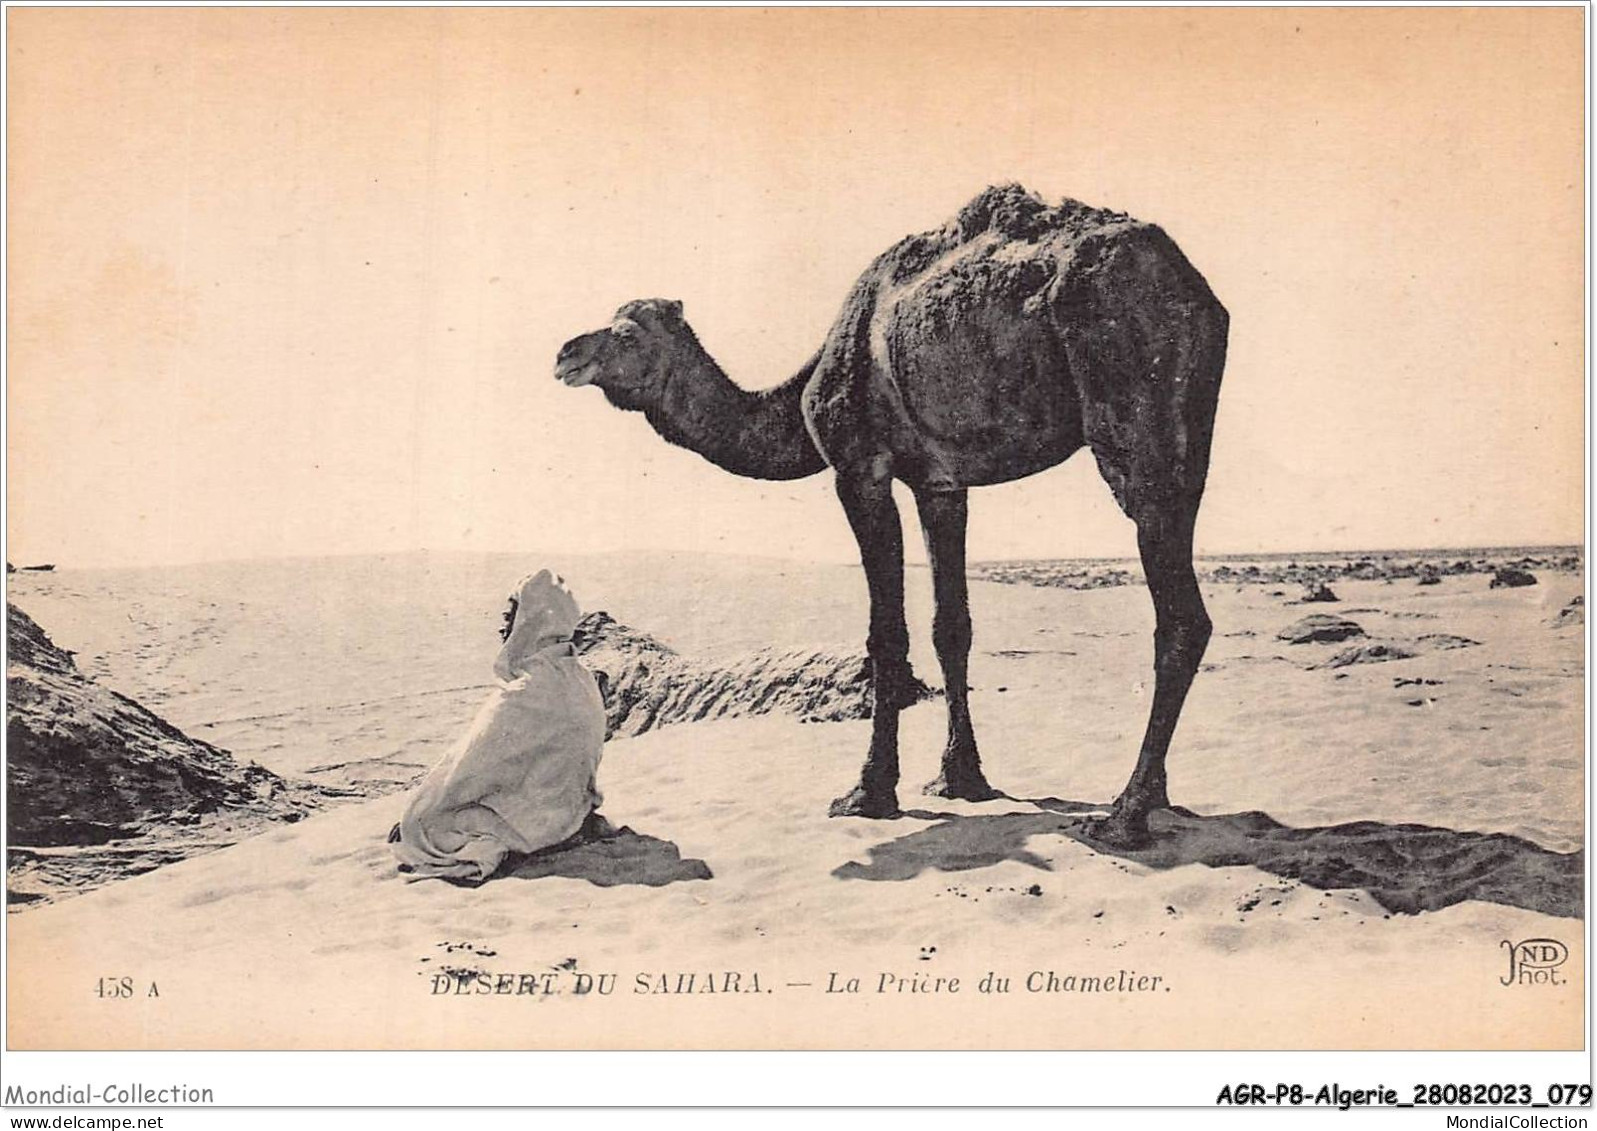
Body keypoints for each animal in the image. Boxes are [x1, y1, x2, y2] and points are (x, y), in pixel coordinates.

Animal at [555, 183, 1226, 837]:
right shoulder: (942, 485)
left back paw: (1126, 813)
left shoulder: (860, 470)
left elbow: (886, 633)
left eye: (627, 333)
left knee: (1181, 615)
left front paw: (869, 791)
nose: (566, 352)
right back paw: (1156, 796)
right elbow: (951, 626)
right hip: (1188, 440)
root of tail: (1194, 289)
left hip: (1133, 417)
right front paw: (960, 779)